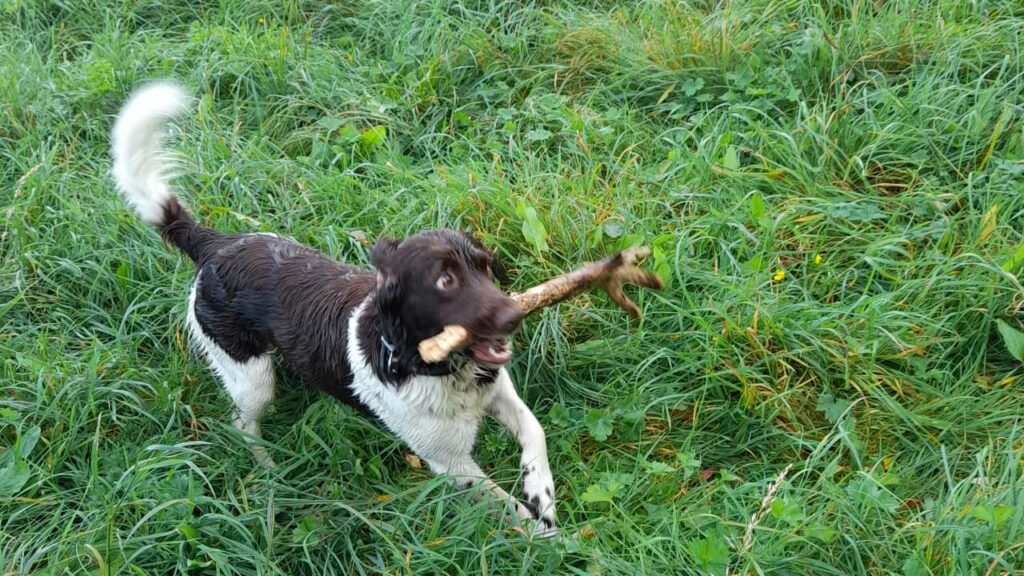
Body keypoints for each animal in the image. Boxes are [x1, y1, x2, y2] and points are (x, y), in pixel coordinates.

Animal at [112, 81, 557, 532]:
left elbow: (535, 431)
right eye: (445, 281)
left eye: (485, 267)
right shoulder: (450, 463)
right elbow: (511, 509)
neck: (434, 365)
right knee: (242, 423)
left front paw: (541, 490)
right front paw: (545, 533)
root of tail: (213, 243)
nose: (516, 314)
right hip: (250, 377)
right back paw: (268, 468)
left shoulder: (499, 392)